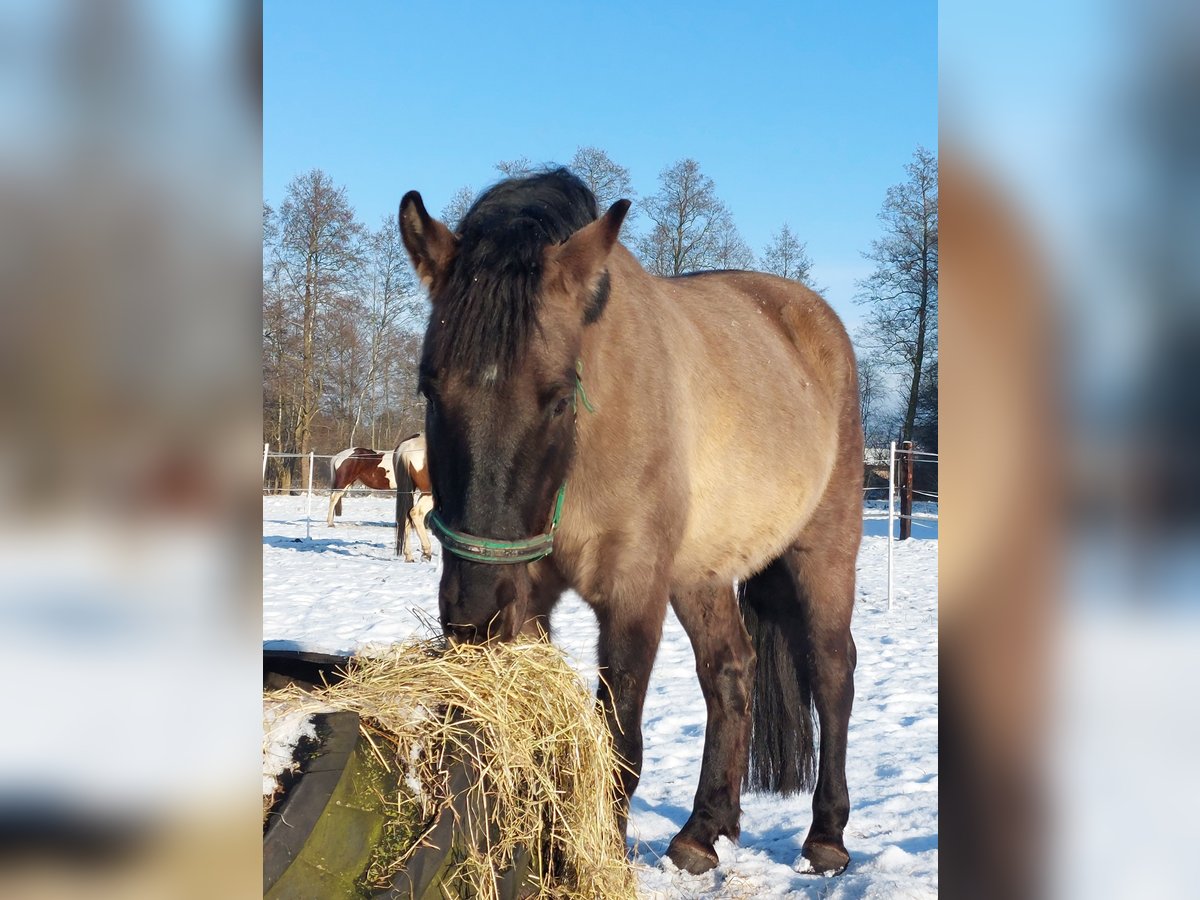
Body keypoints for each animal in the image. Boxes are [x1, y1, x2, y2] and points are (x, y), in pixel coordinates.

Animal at [398, 169, 863, 877]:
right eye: (430, 388)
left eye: (559, 397)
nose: (473, 613)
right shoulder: (530, 600)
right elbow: (554, 748)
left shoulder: (632, 592)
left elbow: (620, 748)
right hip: (700, 573)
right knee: (731, 672)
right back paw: (704, 830)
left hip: (825, 550)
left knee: (833, 670)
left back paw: (827, 834)